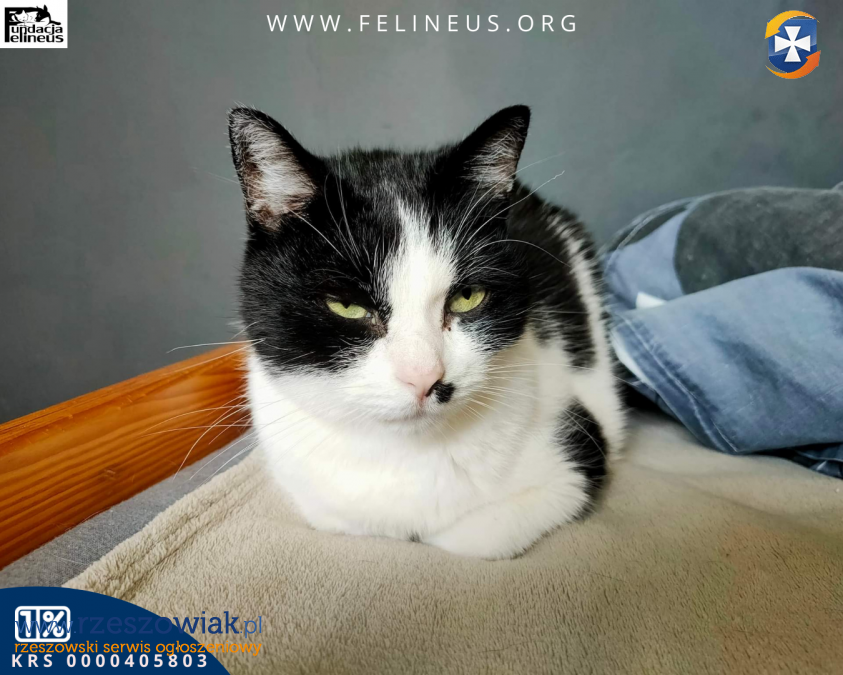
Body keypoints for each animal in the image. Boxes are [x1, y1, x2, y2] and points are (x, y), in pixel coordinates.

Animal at [228, 105, 625, 559]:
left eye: (467, 297)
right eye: (347, 306)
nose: (425, 378)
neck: (407, 456)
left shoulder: (575, 452)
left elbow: (472, 538)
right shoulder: (317, 496)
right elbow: (348, 520)